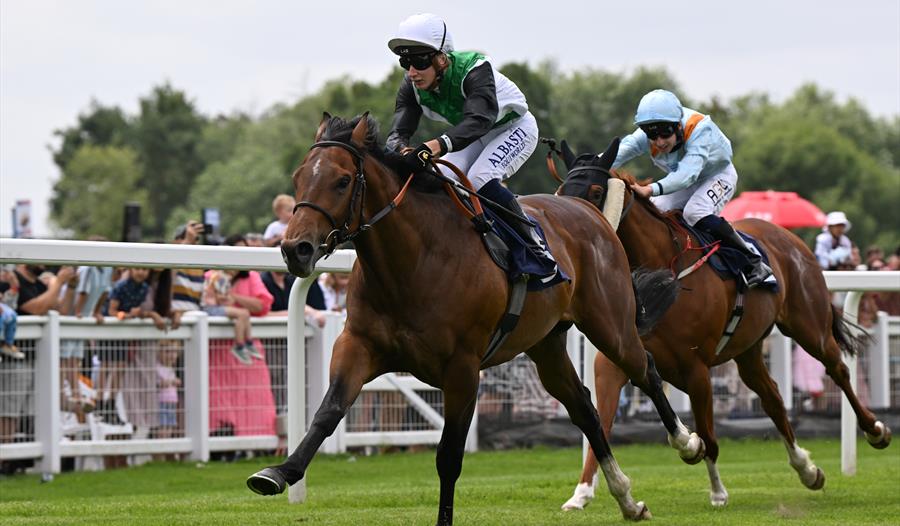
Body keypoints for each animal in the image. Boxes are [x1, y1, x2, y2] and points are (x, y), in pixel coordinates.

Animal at [248, 113, 712, 524]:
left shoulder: (462, 368)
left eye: (342, 180)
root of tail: (588, 209)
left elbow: (449, 456)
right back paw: (627, 500)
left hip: (609, 325)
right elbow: (328, 411)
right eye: (298, 178)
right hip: (545, 345)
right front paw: (277, 473)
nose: (295, 249)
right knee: (585, 408)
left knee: (644, 368)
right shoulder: (359, 345)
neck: (412, 263)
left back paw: (688, 443)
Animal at [560, 140, 888, 512]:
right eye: (562, 189)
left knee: (838, 371)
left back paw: (876, 430)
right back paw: (807, 469)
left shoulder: (696, 369)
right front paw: (581, 493)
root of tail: (786, 237)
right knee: (773, 398)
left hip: (809, 326)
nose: (573, 224)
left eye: (595, 190)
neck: (660, 275)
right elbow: (599, 422)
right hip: (748, 349)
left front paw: (717, 491)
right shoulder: (615, 361)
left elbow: (709, 437)